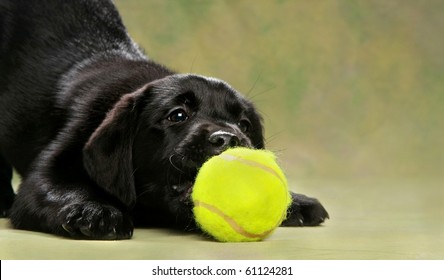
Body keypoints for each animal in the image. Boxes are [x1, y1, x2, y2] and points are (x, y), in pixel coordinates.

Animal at [0, 0, 326, 241]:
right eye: (177, 115)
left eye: (244, 124)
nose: (228, 139)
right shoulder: (47, 172)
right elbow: (57, 188)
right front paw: (94, 210)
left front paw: (295, 201)